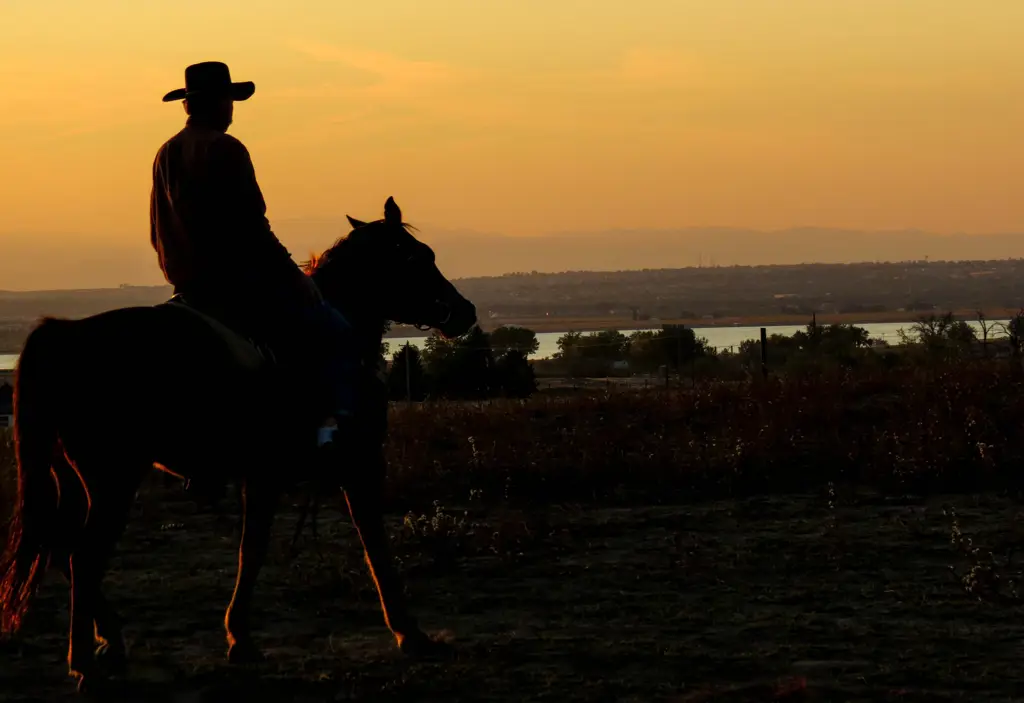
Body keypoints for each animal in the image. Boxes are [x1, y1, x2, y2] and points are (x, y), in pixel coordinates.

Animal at [0, 195, 473, 691]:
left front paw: (239, 637)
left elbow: (252, 549)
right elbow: (373, 547)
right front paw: (410, 633)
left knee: (63, 551)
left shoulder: (264, 475)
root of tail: (65, 334)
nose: (465, 312)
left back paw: (107, 641)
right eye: (418, 257)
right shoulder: (356, 465)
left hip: (73, 478)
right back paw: (85, 664)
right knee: (83, 558)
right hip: (113, 480)